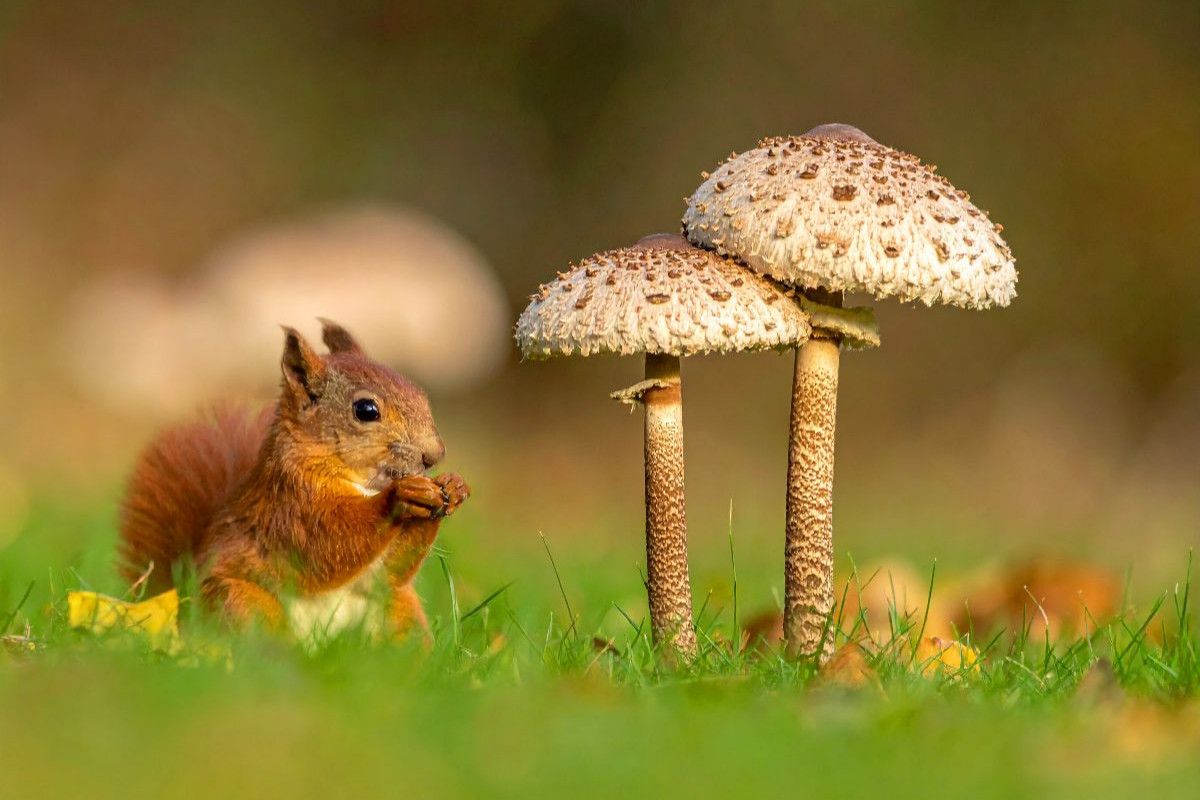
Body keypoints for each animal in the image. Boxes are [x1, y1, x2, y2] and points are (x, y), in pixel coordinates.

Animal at [117, 319, 470, 641]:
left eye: (420, 394)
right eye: (366, 410)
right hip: (241, 600)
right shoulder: (292, 505)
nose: (434, 455)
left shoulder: (382, 579)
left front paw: (453, 487)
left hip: (398, 611)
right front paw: (399, 495)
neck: (363, 483)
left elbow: (390, 573)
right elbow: (330, 543)